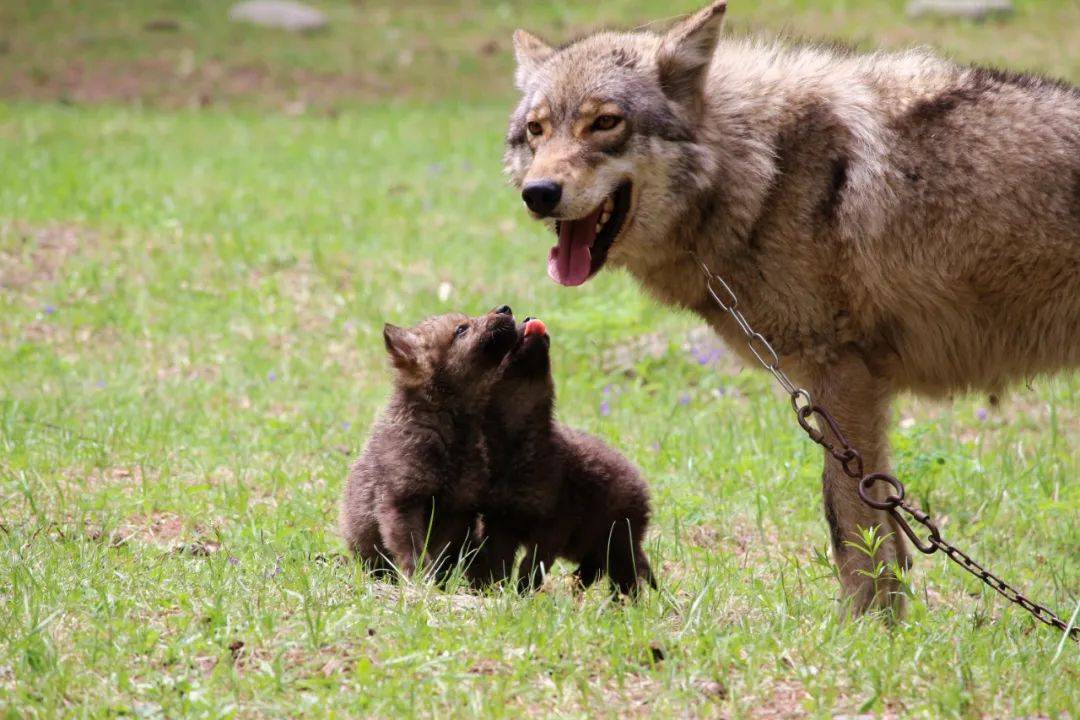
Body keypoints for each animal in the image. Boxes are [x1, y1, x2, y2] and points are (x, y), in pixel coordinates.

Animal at [505, 1, 1080, 621]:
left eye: (605, 123)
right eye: (536, 131)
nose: (539, 193)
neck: (763, 171)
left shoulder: (842, 377)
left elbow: (850, 524)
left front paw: (865, 631)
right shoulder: (849, 391)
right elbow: (880, 526)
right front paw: (886, 625)